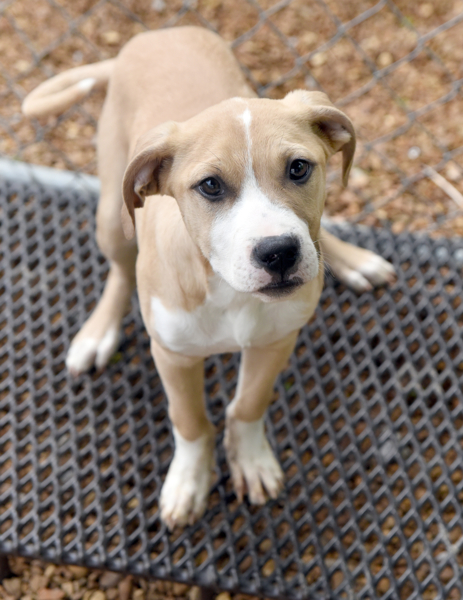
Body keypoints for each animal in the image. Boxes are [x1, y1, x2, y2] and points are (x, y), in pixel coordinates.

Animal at [23, 25, 396, 528]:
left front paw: (251, 462)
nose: (279, 252)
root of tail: (154, 35)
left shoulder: (275, 340)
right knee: (120, 269)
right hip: (112, 216)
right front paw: (189, 482)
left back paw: (353, 259)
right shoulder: (173, 355)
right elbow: (191, 422)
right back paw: (98, 334)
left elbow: (248, 405)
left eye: (299, 168)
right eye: (211, 186)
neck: (227, 291)